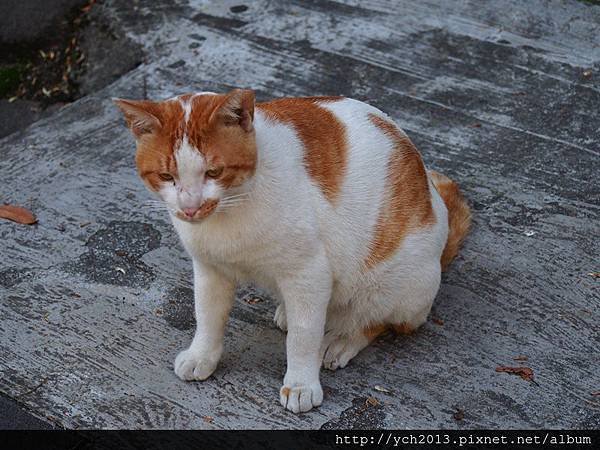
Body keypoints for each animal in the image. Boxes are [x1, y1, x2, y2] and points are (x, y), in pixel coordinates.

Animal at [112, 89, 468, 414]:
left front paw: (300, 383)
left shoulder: (308, 273)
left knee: (379, 320)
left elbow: (303, 334)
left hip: (393, 285)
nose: (190, 207)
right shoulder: (210, 269)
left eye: (213, 172)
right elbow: (207, 316)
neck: (231, 211)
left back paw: (342, 338)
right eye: (166, 176)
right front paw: (203, 355)